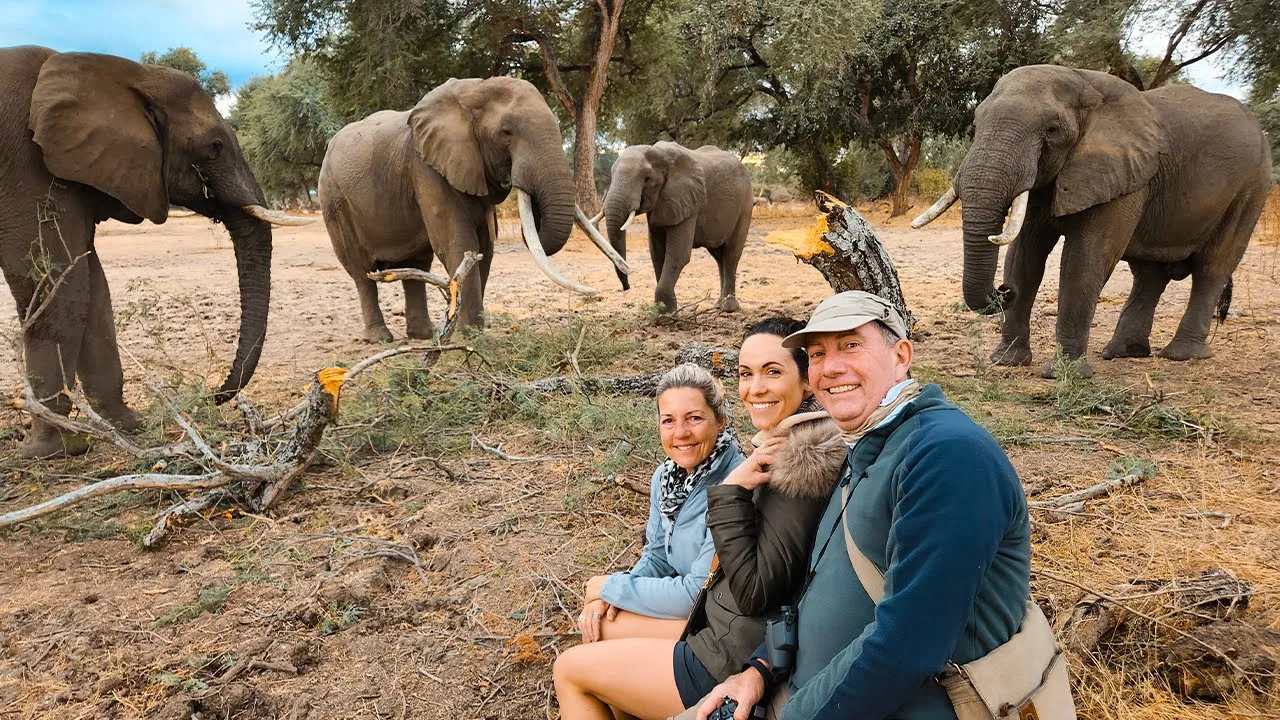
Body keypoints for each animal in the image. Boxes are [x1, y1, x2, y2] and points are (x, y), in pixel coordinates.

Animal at [0, 47, 309, 456]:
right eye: (214, 147)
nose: (213, 396)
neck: (124, 73)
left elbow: (93, 289)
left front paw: (131, 428)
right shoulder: (27, 167)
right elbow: (59, 287)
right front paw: (56, 449)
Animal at [314, 77, 624, 340]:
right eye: (506, 133)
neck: (475, 90)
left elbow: (484, 248)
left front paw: (472, 332)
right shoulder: (425, 167)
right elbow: (459, 242)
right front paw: (472, 336)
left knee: (416, 267)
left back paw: (424, 336)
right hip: (334, 201)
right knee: (361, 272)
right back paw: (381, 338)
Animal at [596, 141, 747, 312]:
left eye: (647, 179)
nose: (626, 287)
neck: (661, 154)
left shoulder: (689, 201)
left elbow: (677, 254)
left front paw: (668, 312)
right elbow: (657, 252)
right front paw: (661, 310)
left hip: (745, 204)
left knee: (731, 254)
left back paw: (729, 308)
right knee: (718, 256)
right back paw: (718, 305)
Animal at [911, 64, 1269, 376]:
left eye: (1052, 130)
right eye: (975, 123)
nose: (1002, 290)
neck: (1084, 81)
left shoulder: (1123, 174)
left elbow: (1084, 260)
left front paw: (1063, 375)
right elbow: (1025, 256)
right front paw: (1007, 362)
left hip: (1252, 186)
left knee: (1212, 267)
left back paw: (1181, 355)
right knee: (1149, 274)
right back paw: (1123, 353)